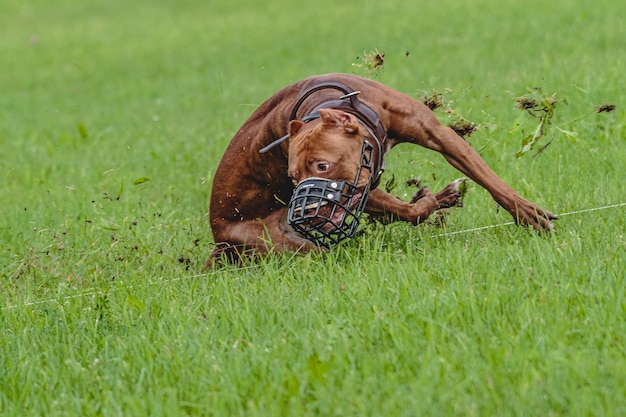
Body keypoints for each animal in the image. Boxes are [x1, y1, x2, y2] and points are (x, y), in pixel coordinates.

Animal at [207, 73, 552, 264]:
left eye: (322, 165)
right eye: (292, 177)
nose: (307, 213)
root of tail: (219, 237)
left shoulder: (440, 136)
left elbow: (488, 179)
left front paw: (527, 213)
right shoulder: (362, 190)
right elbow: (411, 212)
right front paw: (425, 202)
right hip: (285, 244)